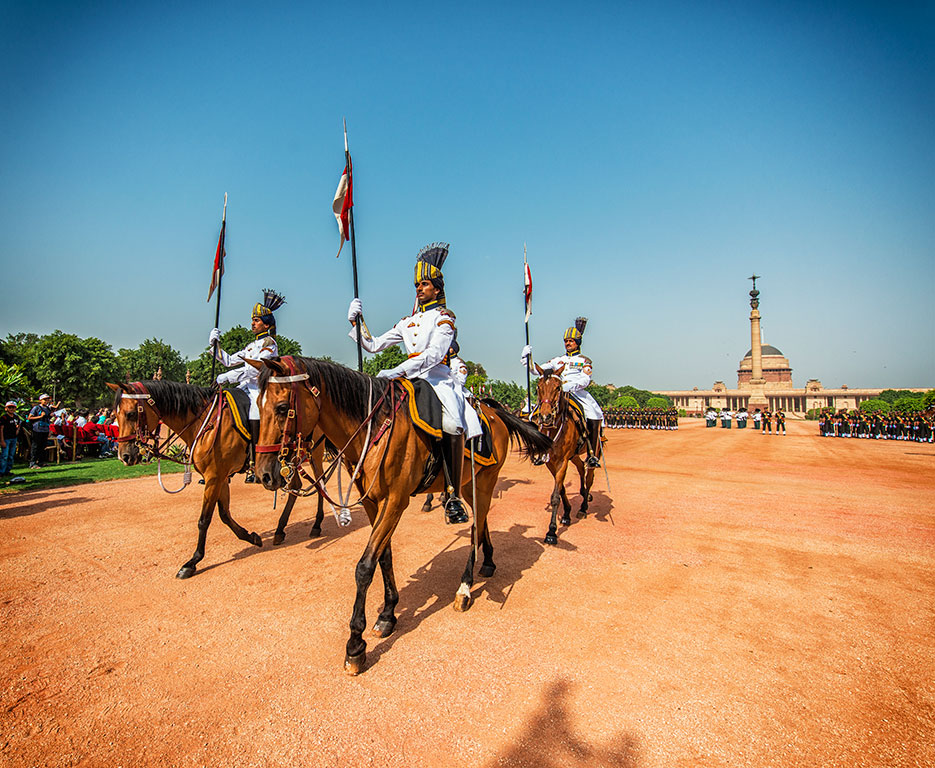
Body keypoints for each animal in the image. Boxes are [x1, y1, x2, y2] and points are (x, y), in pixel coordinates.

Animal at [109, 380, 326, 580]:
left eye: (130, 414)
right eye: (115, 416)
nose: (124, 456)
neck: (205, 423)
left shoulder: (214, 477)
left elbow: (204, 520)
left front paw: (192, 561)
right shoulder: (219, 477)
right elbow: (224, 514)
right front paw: (251, 537)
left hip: (313, 453)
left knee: (320, 483)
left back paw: (316, 524)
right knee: (297, 486)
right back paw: (280, 530)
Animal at [250, 356, 556, 676]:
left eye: (282, 408)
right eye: (257, 405)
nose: (264, 474)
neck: (373, 428)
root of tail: (493, 410)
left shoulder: (396, 500)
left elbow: (365, 566)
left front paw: (355, 645)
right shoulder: (373, 501)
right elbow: (384, 556)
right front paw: (387, 614)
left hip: (485, 482)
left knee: (475, 528)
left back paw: (464, 588)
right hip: (468, 484)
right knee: (481, 522)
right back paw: (488, 562)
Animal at [532, 366, 596, 544]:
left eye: (558, 388)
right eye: (538, 388)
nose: (545, 416)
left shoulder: (562, 461)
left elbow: (556, 495)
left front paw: (551, 532)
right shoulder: (550, 462)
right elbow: (560, 489)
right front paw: (566, 513)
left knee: (590, 476)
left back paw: (584, 507)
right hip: (574, 456)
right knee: (581, 468)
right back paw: (583, 494)